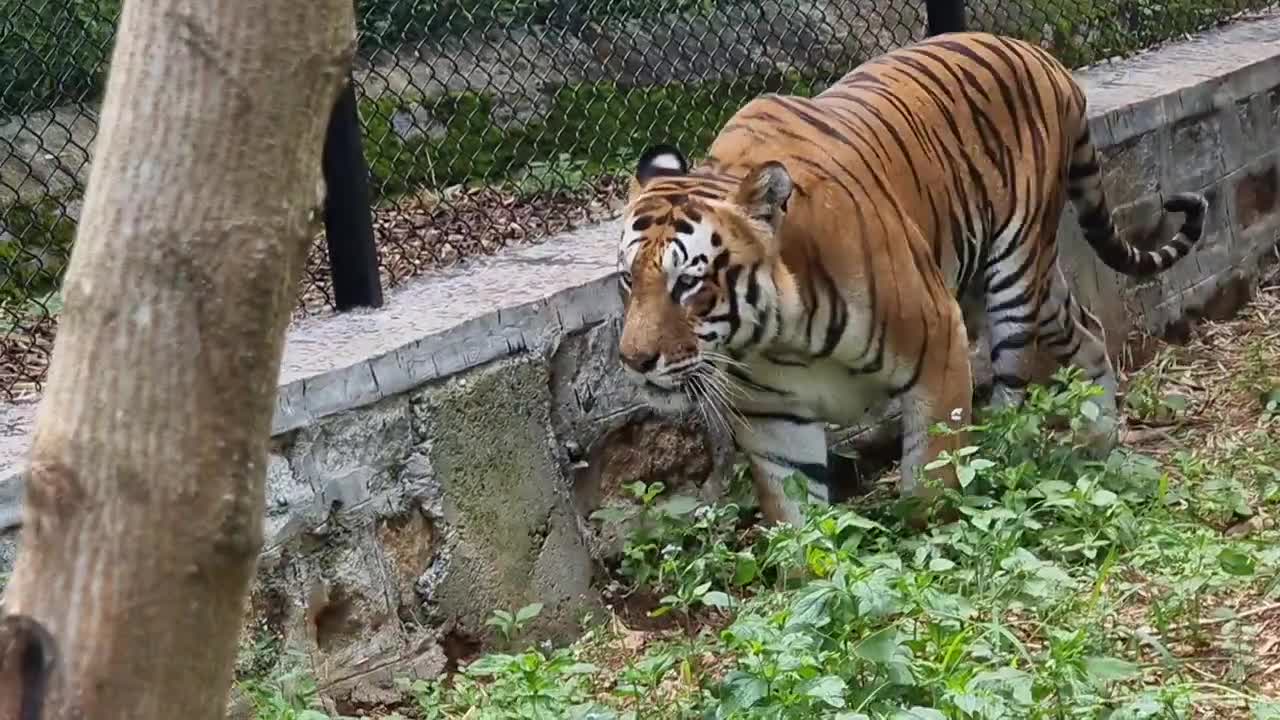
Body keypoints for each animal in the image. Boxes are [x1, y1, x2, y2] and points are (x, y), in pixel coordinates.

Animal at [616, 30, 1208, 527]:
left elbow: (932, 480)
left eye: (688, 284)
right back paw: (1097, 445)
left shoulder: (939, 345)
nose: (633, 360)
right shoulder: (772, 419)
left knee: (1016, 387)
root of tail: (1041, 55)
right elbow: (798, 526)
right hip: (1017, 286)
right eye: (627, 279)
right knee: (1087, 328)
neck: (779, 336)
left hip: (1016, 280)